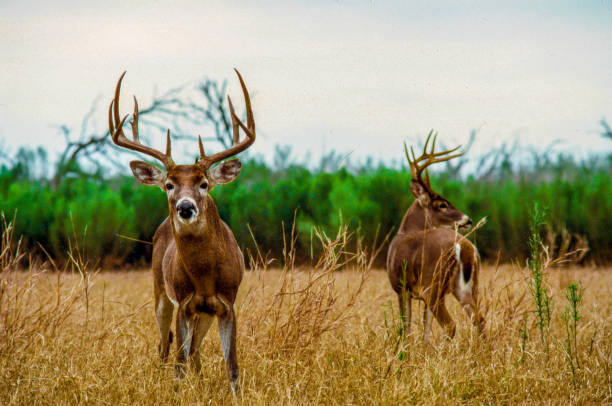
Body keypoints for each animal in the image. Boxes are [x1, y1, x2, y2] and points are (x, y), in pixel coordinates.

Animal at [107, 68, 256, 394]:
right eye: (168, 184)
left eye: (204, 183)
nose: (185, 207)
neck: (205, 276)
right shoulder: (184, 304)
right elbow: (179, 364)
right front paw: (178, 390)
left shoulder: (227, 304)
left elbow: (232, 367)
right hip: (160, 292)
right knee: (166, 347)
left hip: (204, 313)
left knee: (196, 351)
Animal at [388, 133, 482, 342]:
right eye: (442, 205)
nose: (468, 220)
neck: (404, 232)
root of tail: (463, 247)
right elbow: (425, 329)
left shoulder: (402, 288)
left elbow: (406, 329)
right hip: (467, 287)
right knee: (479, 319)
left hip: (433, 285)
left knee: (450, 325)